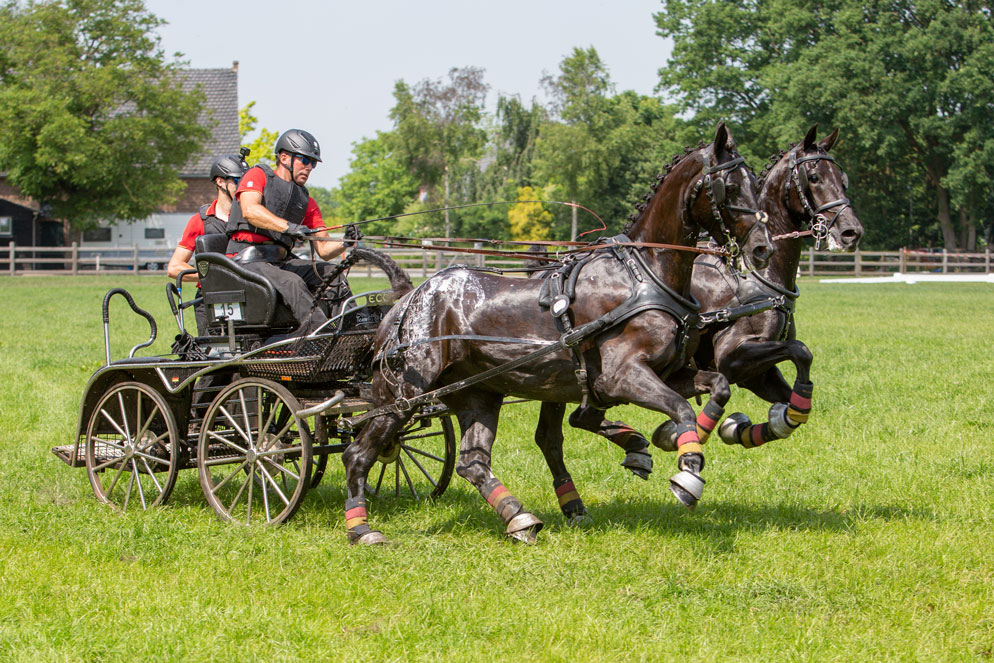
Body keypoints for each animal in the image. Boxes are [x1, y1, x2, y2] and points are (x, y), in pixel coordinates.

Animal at [344, 123, 772, 544]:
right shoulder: (622, 377)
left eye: (755, 181)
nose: (763, 249)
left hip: (477, 393)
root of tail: (404, 303)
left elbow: (718, 386)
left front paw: (684, 435)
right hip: (403, 396)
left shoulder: (669, 373)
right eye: (730, 186)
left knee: (472, 462)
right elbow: (681, 408)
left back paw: (518, 518)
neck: (643, 275)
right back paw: (362, 528)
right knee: (359, 453)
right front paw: (687, 472)